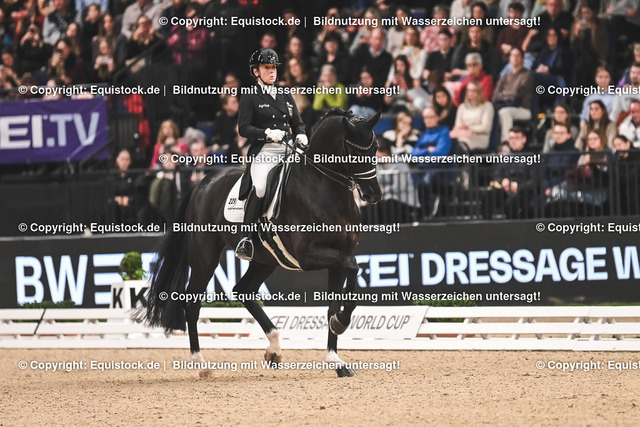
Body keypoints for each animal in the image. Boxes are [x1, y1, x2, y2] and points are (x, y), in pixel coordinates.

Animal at [144, 108, 382, 377]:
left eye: (375, 147)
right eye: (354, 150)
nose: (374, 194)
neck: (325, 189)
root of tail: (203, 183)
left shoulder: (338, 255)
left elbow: (336, 297)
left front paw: (336, 358)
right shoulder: (309, 256)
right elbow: (352, 265)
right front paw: (341, 323)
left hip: (265, 260)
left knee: (243, 291)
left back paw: (274, 349)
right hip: (205, 258)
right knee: (192, 302)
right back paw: (201, 364)